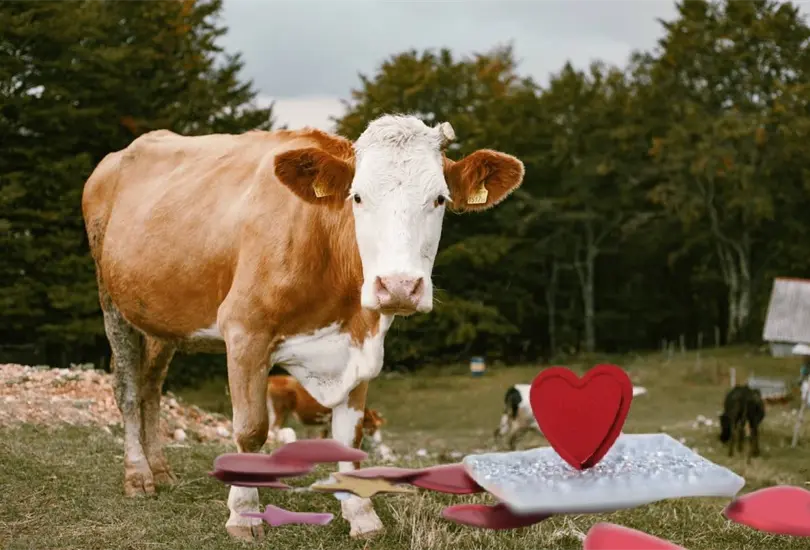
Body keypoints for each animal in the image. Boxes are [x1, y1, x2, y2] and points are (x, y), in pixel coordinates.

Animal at [81, 114, 524, 541]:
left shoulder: (359, 343)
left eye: (439, 199)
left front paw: (361, 514)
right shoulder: (244, 330)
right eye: (357, 196)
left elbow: (349, 437)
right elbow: (251, 429)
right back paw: (139, 476)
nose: (399, 286)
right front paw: (243, 514)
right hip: (111, 300)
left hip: (161, 319)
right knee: (127, 389)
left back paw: (161, 470)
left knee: (151, 388)